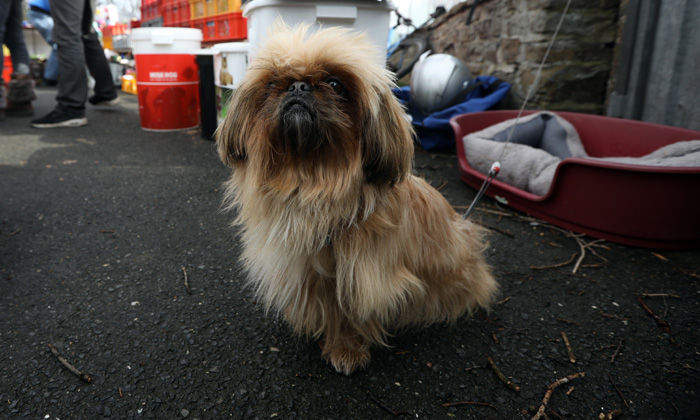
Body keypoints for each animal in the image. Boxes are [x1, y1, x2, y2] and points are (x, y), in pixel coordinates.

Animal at [216, 24, 494, 374]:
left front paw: (346, 350)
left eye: (335, 84)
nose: (298, 85)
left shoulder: (362, 278)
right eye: (271, 83)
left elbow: (348, 315)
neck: (309, 181)